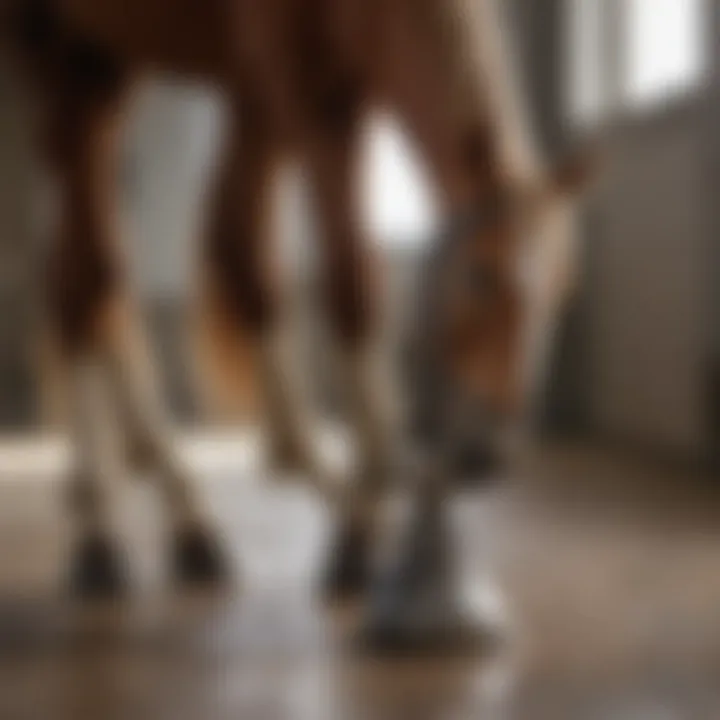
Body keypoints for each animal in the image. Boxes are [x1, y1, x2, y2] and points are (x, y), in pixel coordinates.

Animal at [2, 0, 592, 644]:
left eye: (562, 292)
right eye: (481, 278)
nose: (490, 453)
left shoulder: (269, 97)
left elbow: (243, 257)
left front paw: (338, 489)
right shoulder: (312, 101)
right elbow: (350, 280)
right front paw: (360, 516)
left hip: (108, 65)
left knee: (93, 284)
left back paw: (181, 513)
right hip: (63, 62)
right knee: (82, 283)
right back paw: (102, 530)